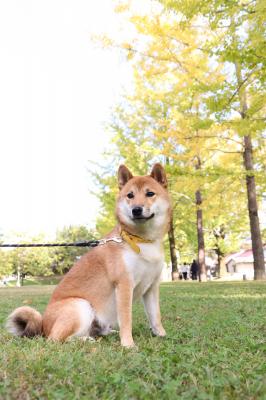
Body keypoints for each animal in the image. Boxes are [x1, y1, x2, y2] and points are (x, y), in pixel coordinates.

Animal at [7, 162, 172, 346]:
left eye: (150, 193)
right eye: (130, 195)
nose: (136, 209)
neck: (141, 240)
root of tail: (43, 326)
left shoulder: (151, 287)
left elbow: (155, 316)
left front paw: (161, 334)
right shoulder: (124, 284)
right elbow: (126, 319)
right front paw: (128, 344)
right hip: (81, 306)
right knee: (56, 339)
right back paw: (86, 340)